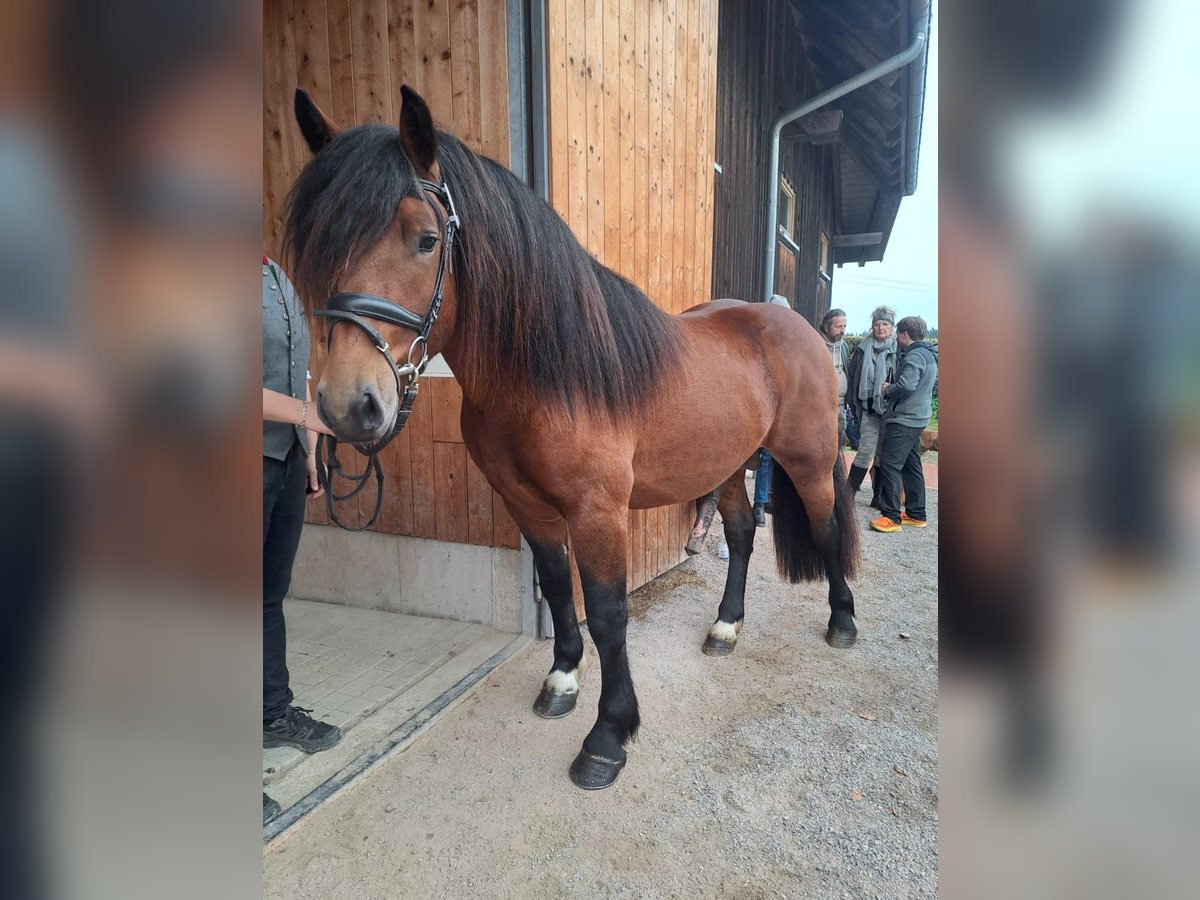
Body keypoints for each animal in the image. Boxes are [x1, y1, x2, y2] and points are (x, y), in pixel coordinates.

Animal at [285, 84, 859, 787]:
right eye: (315, 246)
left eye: (425, 239)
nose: (350, 406)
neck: (549, 375)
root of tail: (798, 327)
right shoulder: (526, 503)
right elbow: (558, 587)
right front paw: (561, 679)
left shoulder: (597, 510)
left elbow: (609, 614)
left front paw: (608, 737)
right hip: (726, 464)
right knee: (744, 534)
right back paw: (725, 628)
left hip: (807, 461)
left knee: (827, 529)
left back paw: (842, 622)